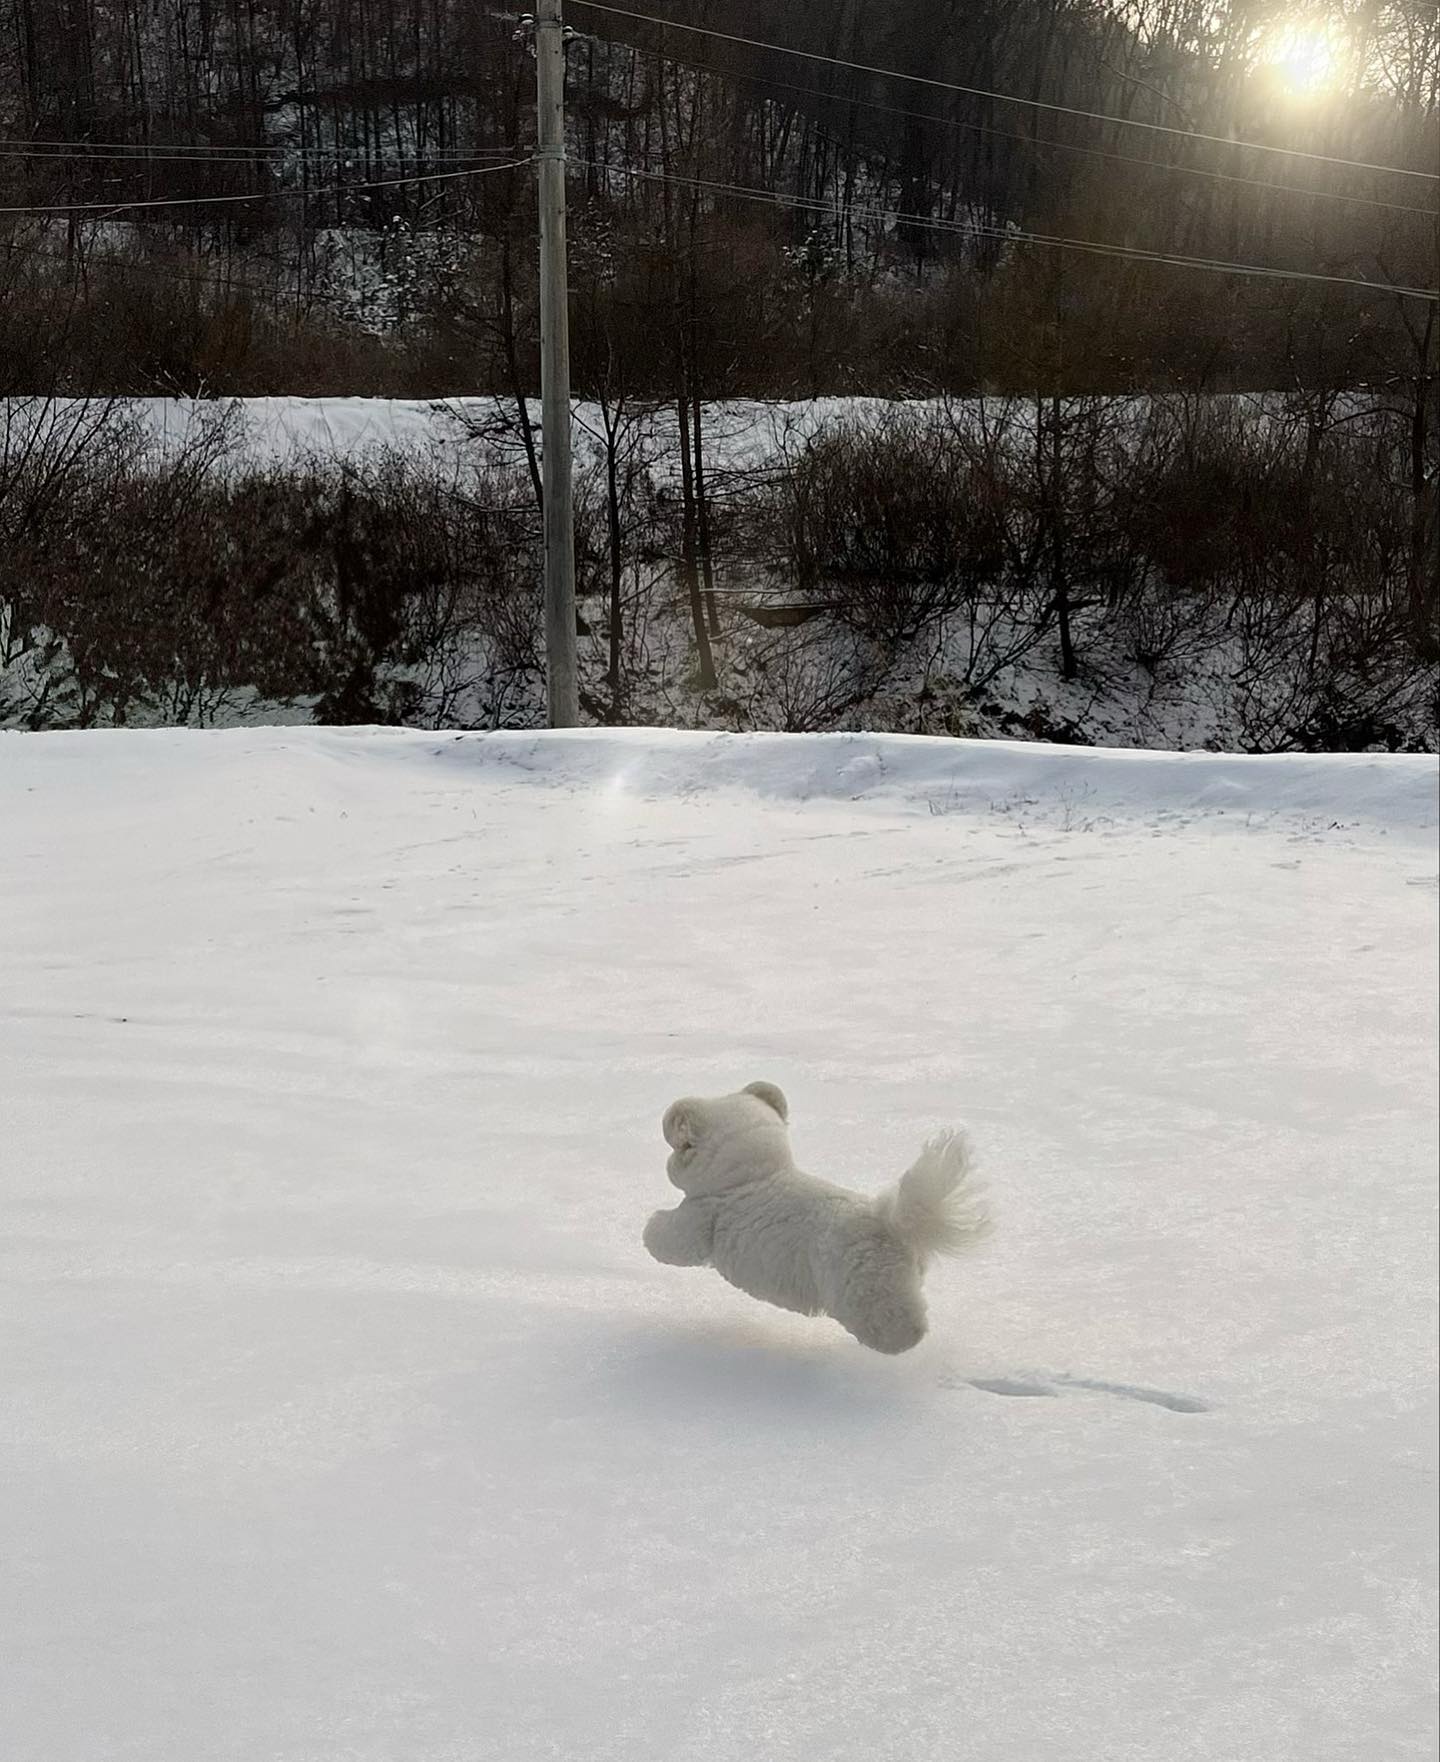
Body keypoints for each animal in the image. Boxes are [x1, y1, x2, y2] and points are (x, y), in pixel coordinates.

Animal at [641, 1078, 987, 1353]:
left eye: (680, 1146)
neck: (755, 1175)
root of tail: (891, 1223)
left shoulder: (699, 1219)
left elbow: (667, 1239)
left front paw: (650, 1226)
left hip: (869, 1290)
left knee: (894, 1324)